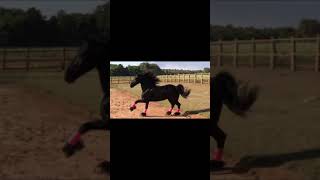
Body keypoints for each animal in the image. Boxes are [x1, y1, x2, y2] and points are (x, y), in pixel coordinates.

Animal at [61, 36, 110, 173]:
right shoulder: (105, 122)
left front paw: (106, 165)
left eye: (84, 55)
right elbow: (84, 126)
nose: (67, 75)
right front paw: (69, 147)